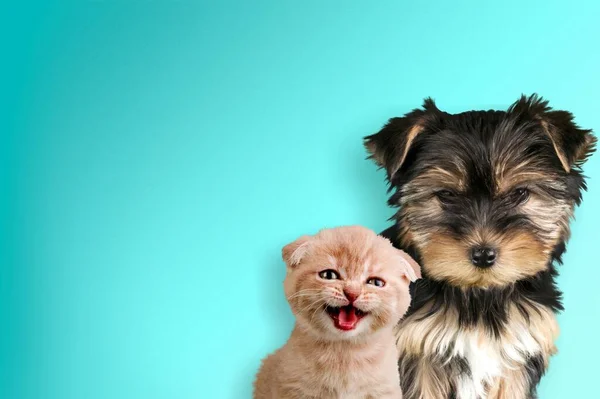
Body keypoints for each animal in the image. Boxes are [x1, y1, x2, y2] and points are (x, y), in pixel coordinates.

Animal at [366, 96, 596, 399]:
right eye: (446, 195)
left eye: (519, 194)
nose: (483, 254)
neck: (480, 296)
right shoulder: (417, 349)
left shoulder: (519, 350)